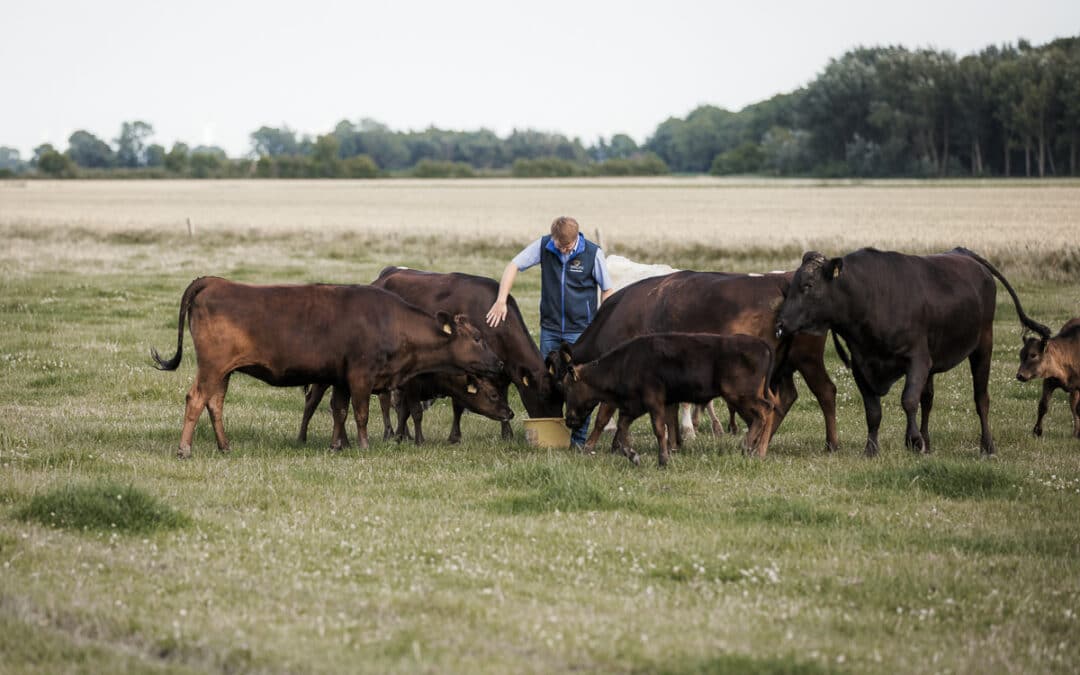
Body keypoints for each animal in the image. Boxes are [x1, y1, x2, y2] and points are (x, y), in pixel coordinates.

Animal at [151, 275, 501, 457]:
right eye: (477, 338)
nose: (497, 362)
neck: (391, 323)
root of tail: (214, 281)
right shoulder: (360, 376)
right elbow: (361, 413)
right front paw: (363, 445)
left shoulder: (341, 378)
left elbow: (340, 411)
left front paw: (336, 445)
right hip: (212, 367)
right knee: (196, 399)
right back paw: (185, 448)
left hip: (223, 371)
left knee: (215, 403)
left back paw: (225, 446)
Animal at [544, 268, 838, 453]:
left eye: (561, 386)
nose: (568, 422)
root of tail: (781, 280)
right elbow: (670, 410)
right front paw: (675, 443)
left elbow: (606, 413)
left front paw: (596, 446)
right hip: (783, 368)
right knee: (784, 399)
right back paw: (757, 443)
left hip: (807, 360)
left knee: (824, 392)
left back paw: (830, 444)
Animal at [557, 332, 777, 468]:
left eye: (567, 388)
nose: (569, 420)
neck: (625, 364)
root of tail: (762, 345)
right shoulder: (634, 406)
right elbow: (622, 428)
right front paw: (632, 455)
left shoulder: (654, 401)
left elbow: (659, 429)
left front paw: (663, 459)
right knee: (767, 410)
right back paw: (756, 450)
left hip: (740, 394)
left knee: (765, 411)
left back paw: (749, 447)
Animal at [773, 248, 1049, 457]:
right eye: (791, 286)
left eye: (808, 285)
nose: (780, 323)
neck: (870, 297)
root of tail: (964, 252)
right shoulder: (862, 366)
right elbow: (874, 411)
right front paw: (872, 449)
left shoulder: (917, 359)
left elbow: (908, 400)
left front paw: (914, 441)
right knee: (928, 399)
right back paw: (928, 442)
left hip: (983, 346)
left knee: (981, 398)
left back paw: (987, 446)